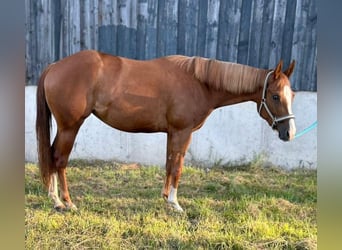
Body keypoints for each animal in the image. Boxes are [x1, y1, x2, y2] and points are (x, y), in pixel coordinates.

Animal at [35, 49, 296, 212]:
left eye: (291, 95)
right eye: (274, 96)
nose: (289, 133)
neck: (199, 82)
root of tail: (55, 66)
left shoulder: (173, 133)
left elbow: (170, 163)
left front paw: (165, 198)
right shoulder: (183, 132)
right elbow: (178, 166)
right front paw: (175, 203)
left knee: (51, 156)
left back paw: (54, 198)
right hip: (70, 126)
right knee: (59, 159)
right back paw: (65, 202)